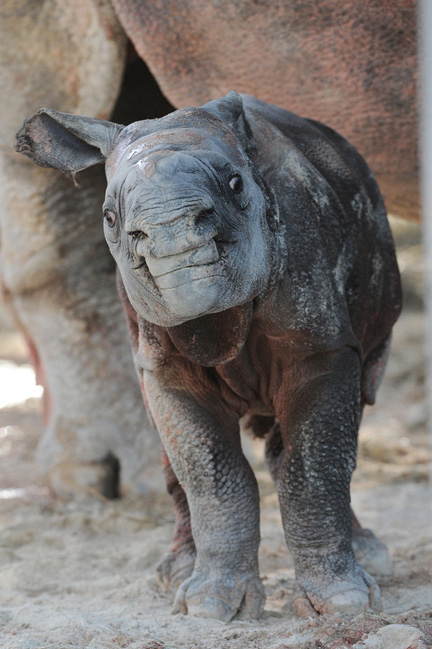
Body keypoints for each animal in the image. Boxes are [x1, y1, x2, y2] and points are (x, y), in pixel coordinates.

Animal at [16, 91, 401, 621]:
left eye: (236, 184)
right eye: (109, 217)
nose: (171, 234)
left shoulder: (322, 343)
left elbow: (315, 464)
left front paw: (344, 604)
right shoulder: (163, 362)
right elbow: (210, 471)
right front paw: (212, 607)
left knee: (356, 401)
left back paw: (371, 558)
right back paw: (175, 574)